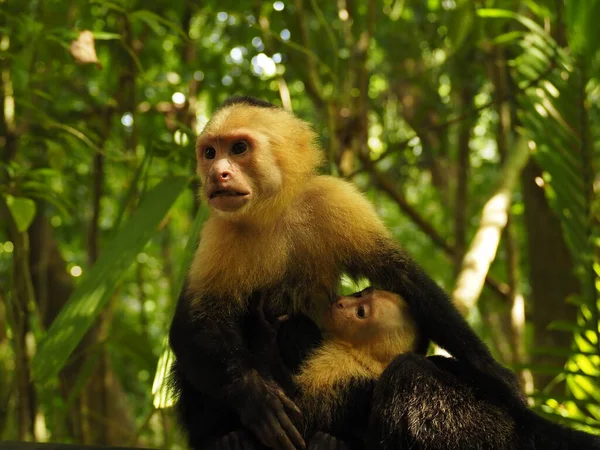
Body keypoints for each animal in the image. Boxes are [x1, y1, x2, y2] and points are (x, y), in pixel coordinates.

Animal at [168, 96, 520, 448]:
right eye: (210, 153)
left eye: (239, 148)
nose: (218, 174)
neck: (272, 212)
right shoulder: (217, 231)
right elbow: (194, 324)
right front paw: (256, 397)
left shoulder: (333, 198)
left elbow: (401, 276)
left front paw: (495, 374)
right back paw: (225, 436)